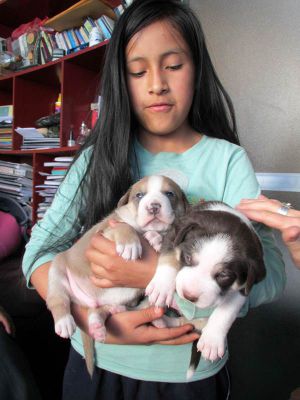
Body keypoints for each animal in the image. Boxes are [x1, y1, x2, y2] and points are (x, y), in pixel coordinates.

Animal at [46, 175, 188, 376]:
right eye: (139, 195)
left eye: (169, 194)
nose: (153, 206)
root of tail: (85, 301)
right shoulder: (106, 231)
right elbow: (124, 227)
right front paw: (131, 243)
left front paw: (156, 240)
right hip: (58, 270)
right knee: (58, 299)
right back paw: (64, 321)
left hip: (122, 299)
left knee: (99, 310)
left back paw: (103, 322)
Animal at [147, 202, 264, 380]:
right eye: (188, 258)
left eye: (223, 275)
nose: (188, 296)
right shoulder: (174, 235)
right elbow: (169, 257)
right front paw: (161, 287)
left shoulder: (244, 286)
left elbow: (227, 310)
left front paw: (212, 342)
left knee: (188, 324)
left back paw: (164, 323)